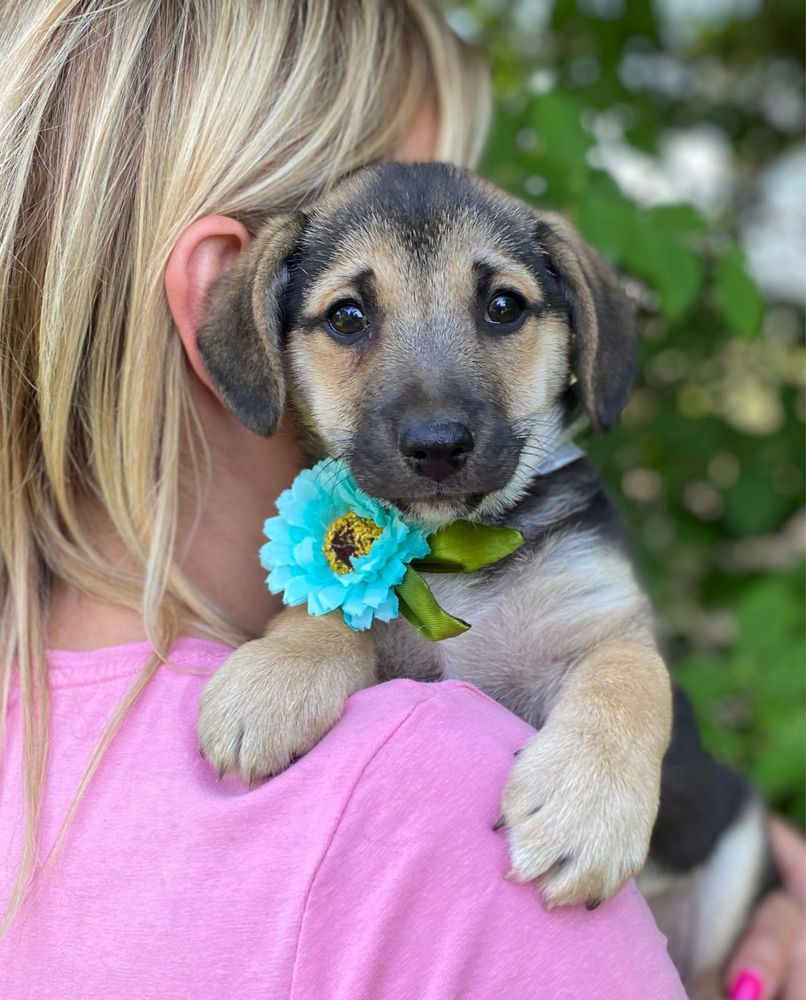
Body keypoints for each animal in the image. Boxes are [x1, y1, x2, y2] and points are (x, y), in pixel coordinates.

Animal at [194, 162, 776, 984]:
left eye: (503, 306)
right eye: (347, 316)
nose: (437, 445)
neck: (457, 550)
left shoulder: (607, 620)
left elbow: (629, 681)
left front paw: (583, 808)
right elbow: (325, 616)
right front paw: (273, 677)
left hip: (736, 848)